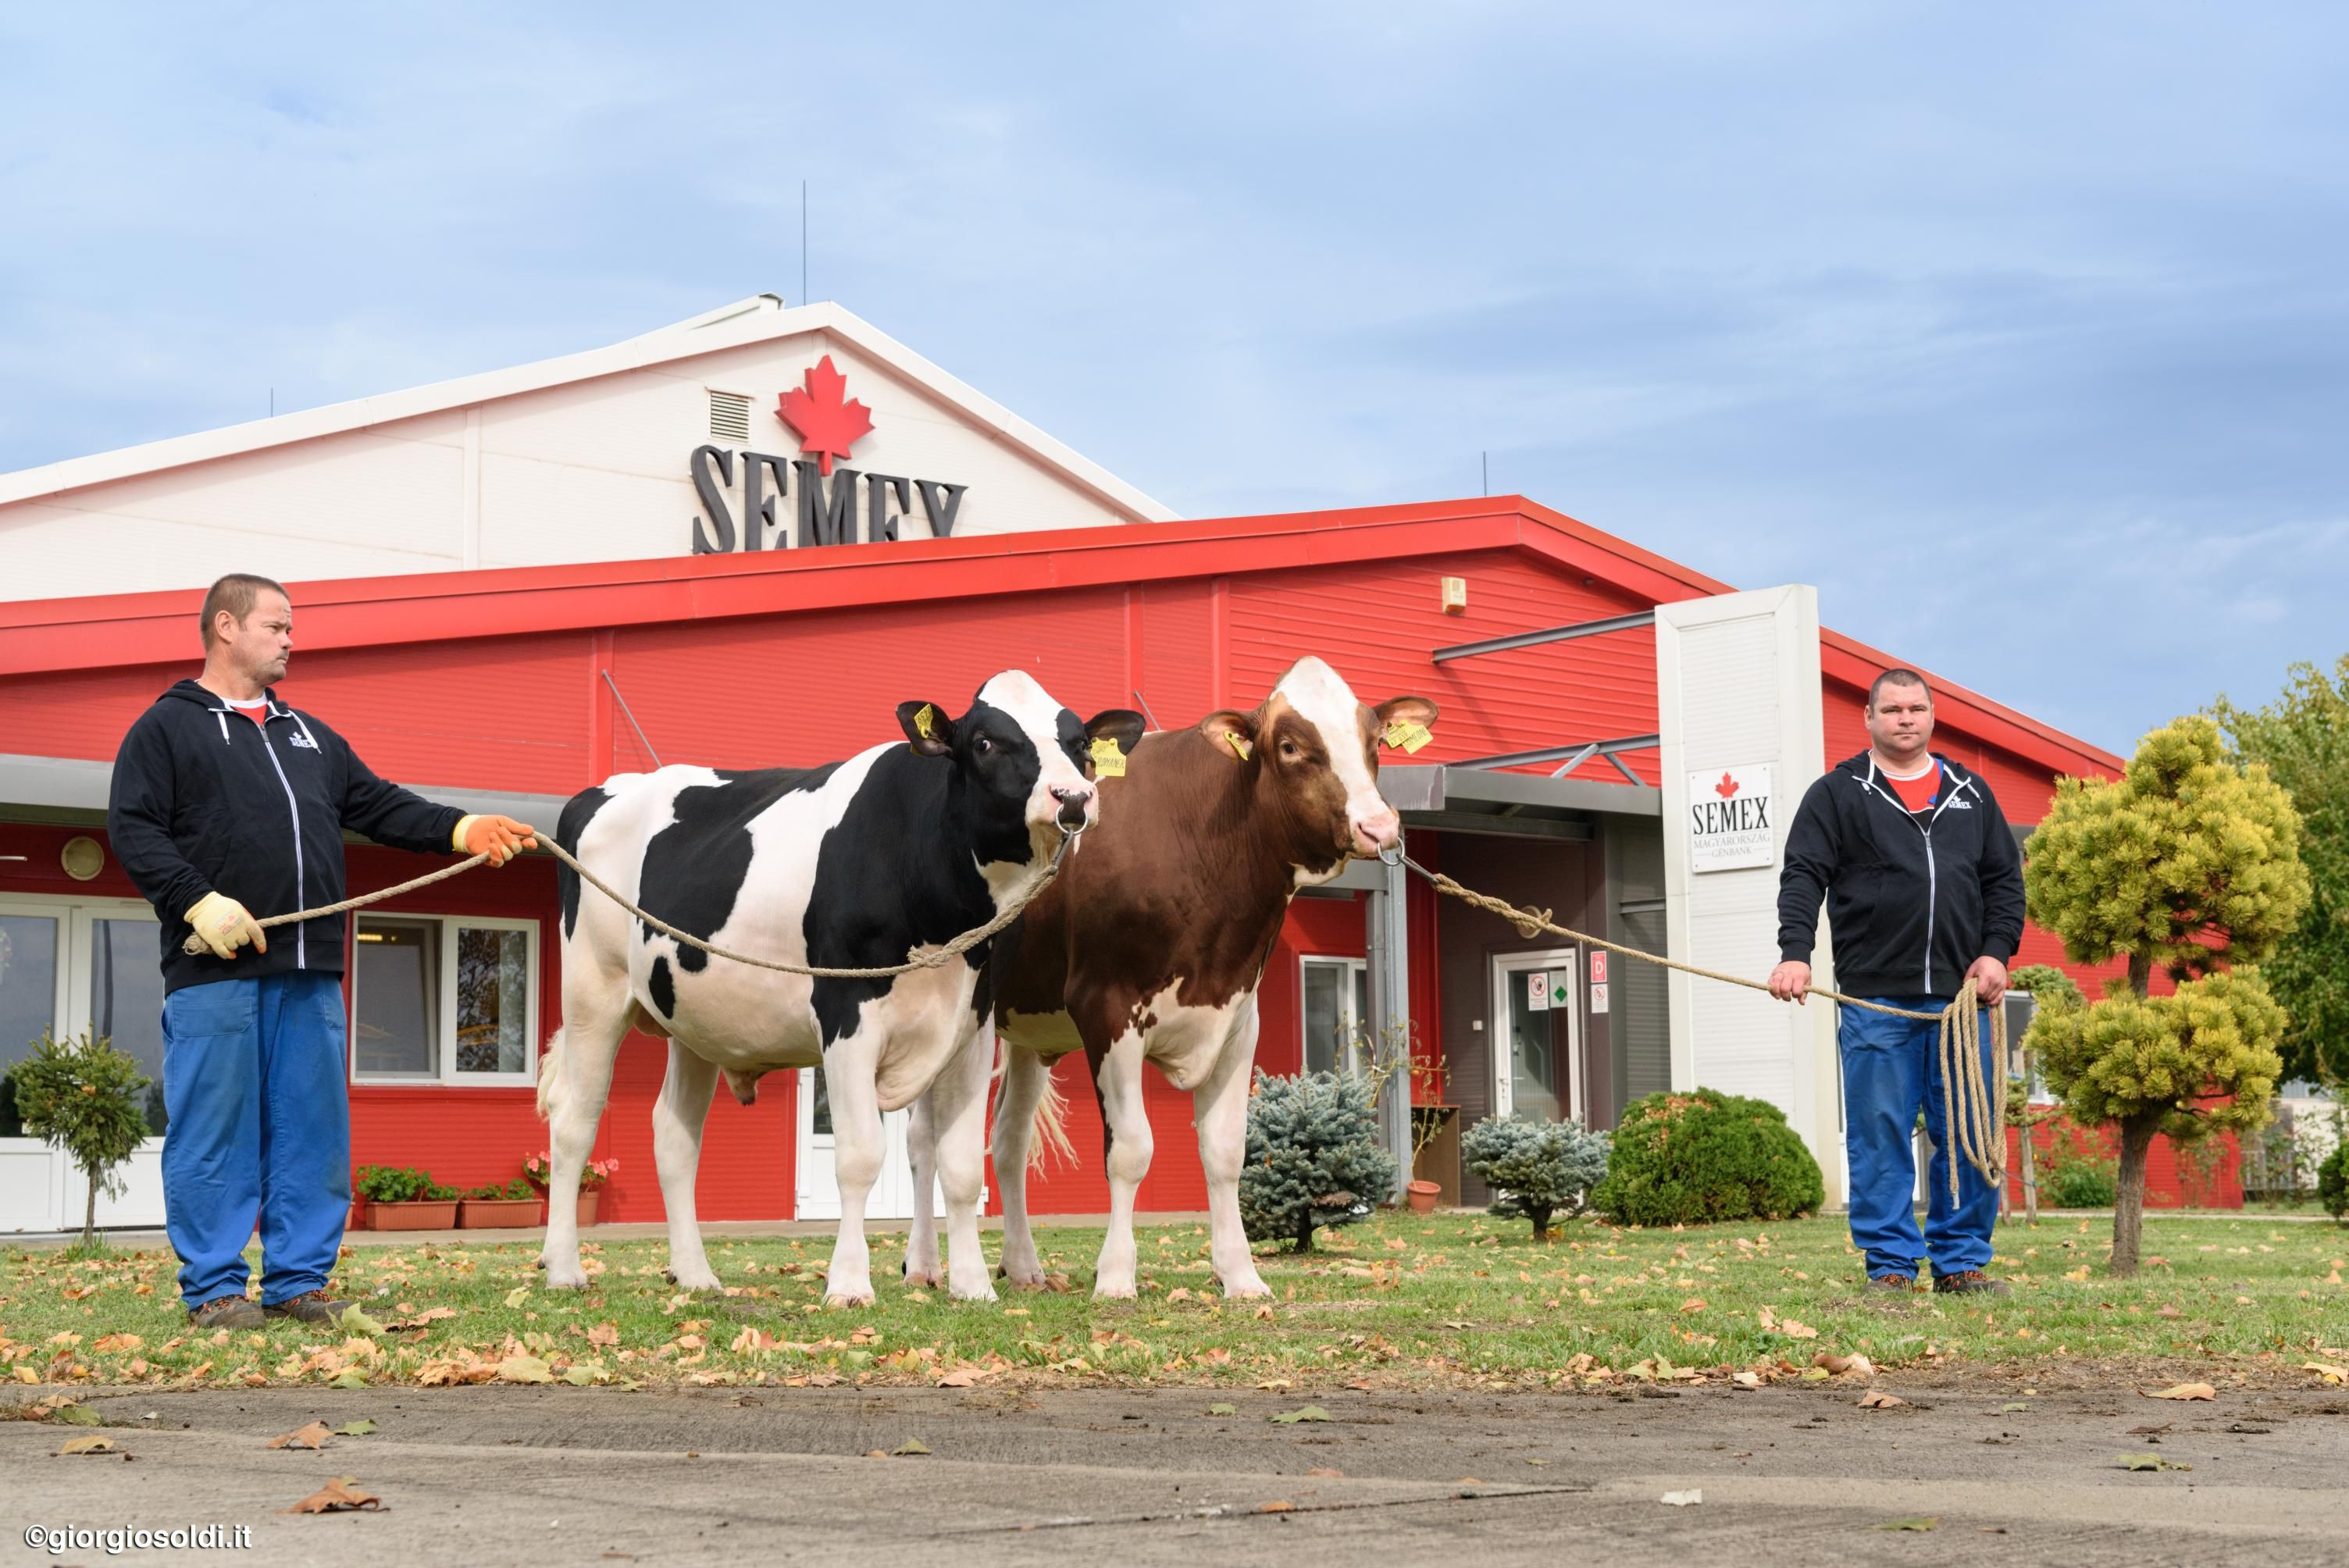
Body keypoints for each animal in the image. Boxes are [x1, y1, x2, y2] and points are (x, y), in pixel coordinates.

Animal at [540, 680, 1146, 1305]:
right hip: (592, 995)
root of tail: (599, 792)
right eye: (984, 742)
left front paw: (973, 1285)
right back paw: (563, 1269)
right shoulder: (847, 1016)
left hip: (694, 1021)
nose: (1073, 798)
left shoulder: (972, 1027)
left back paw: (695, 1273)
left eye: (1079, 743)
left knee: (675, 1136)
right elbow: (860, 1156)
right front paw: (850, 1283)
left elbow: (960, 1166)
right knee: (574, 1119)